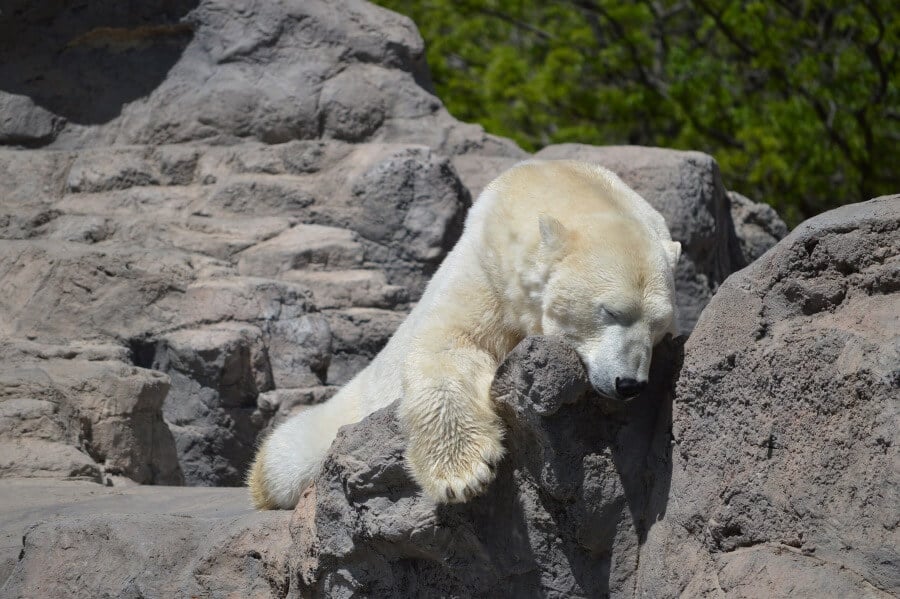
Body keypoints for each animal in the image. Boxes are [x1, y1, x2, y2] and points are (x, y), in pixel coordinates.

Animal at [250, 161, 680, 510]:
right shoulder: (486, 271)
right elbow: (451, 342)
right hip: (341, 412)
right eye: (610, 311)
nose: (629, 384)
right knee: (288, 457)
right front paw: (463, 474)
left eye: (658, 325)